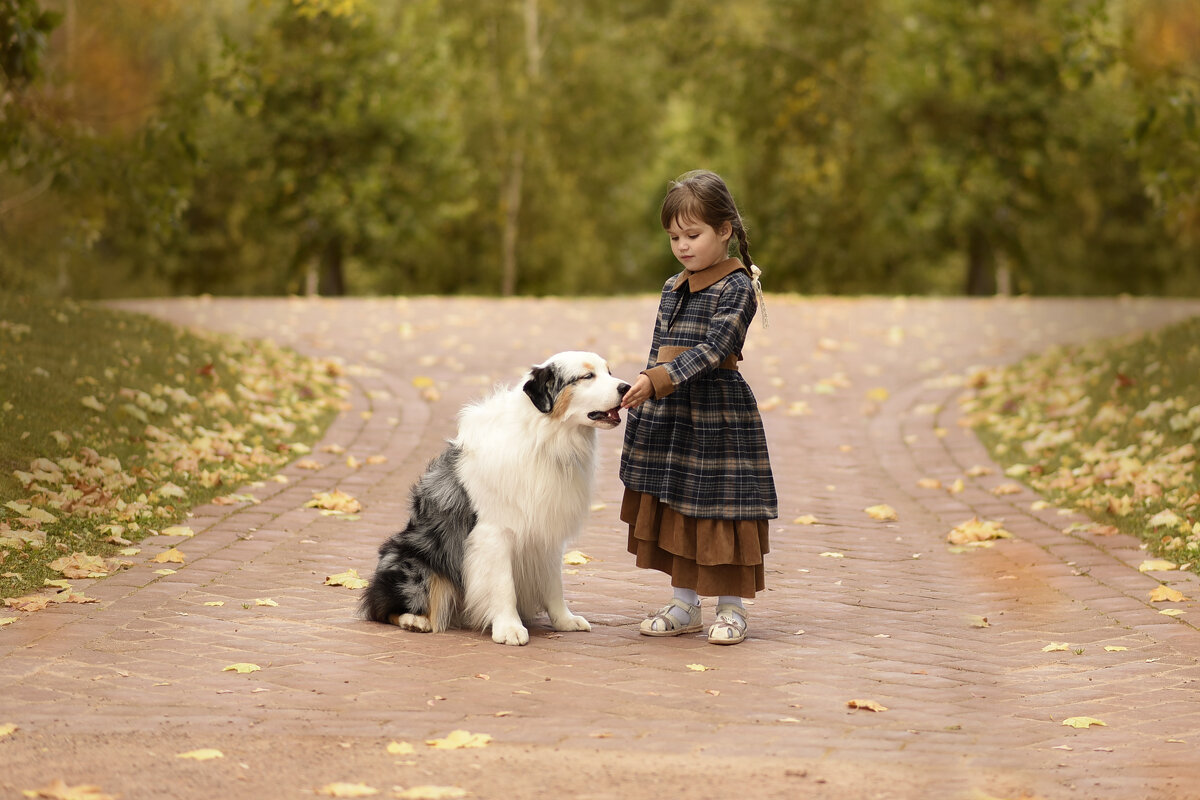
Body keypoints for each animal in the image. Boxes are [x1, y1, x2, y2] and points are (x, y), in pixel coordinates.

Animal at [360, 352, 633, 647]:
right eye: (587, 376)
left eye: (609, 372)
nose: (627, 387)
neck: (544, 438)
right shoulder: (494, 532)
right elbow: (504, 585)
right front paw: (509, 628)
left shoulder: (547, 531)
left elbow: (554, 584)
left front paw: (564, 620)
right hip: (415, 562)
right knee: (382, 607)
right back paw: (414, 620)